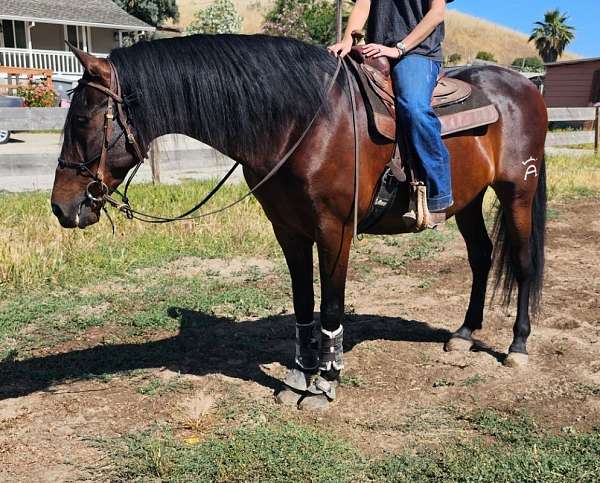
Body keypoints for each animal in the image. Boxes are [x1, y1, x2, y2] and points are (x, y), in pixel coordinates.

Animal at [51, 36, 548, 410]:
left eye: (82, 119)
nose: (61, 207)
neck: (305, 122)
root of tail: (525, 87)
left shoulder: (335, 231)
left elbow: (330, 307)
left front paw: (324, 384)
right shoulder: (288, 231)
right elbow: (304, 303)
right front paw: (298, 375)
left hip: (518, 191)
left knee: (523, 262)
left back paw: (518, 347)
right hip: (469, 200)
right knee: (481, 257)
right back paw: (464, 334)